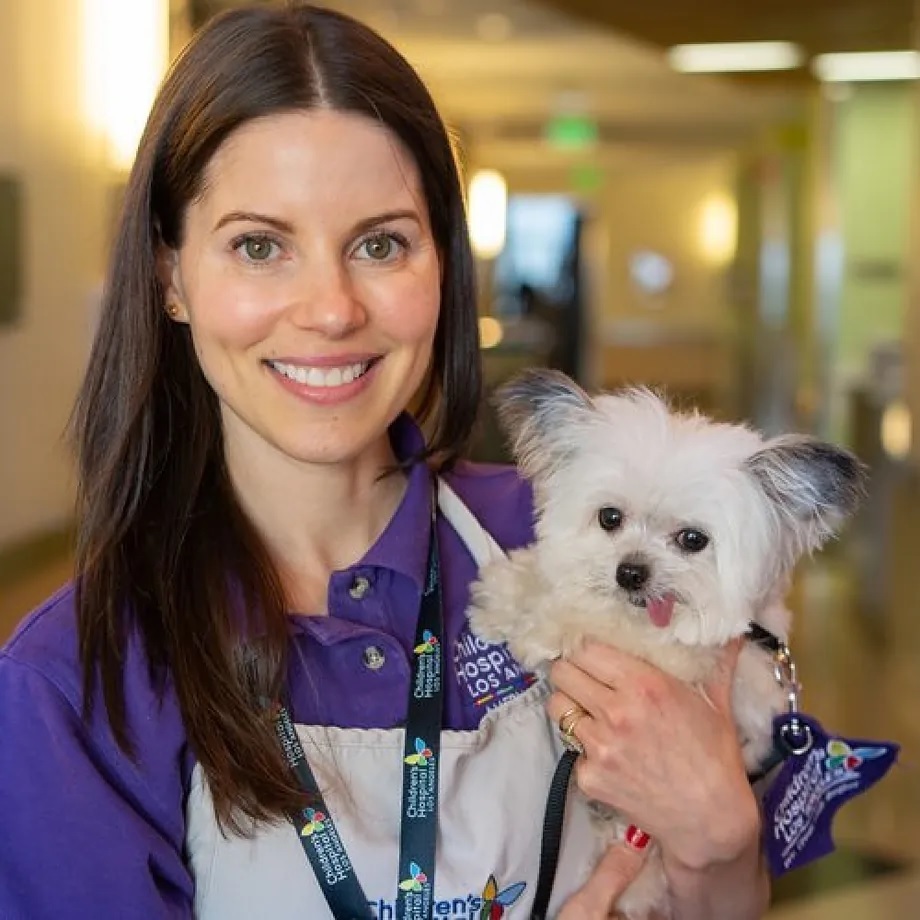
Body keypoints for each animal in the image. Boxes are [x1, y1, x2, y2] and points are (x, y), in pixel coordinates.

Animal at [470, 368, 868, 920]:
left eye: (693, 540)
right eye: (610, 518)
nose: (630, 572)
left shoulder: (681, 658)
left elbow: (597, 619)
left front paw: (543, 624)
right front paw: (505, 592)